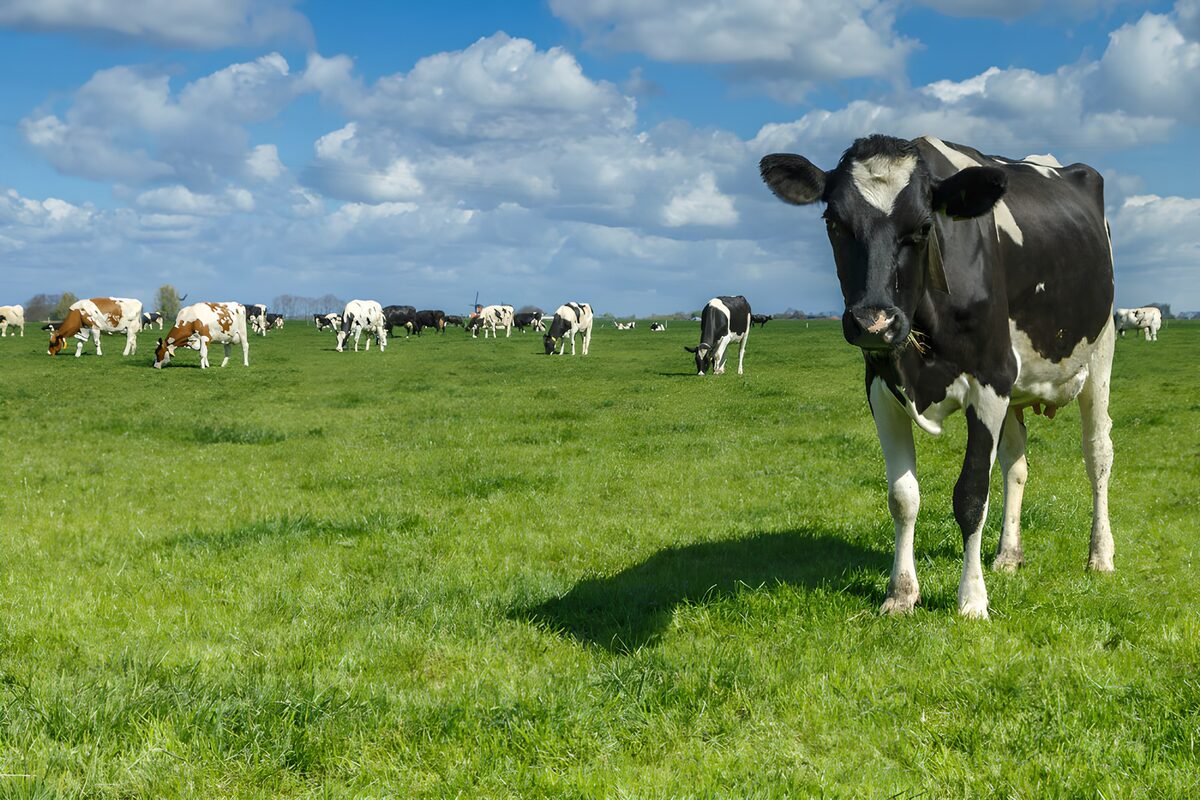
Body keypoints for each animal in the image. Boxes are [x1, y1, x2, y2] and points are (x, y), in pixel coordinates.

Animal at [760, 134, 1117, 619]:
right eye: (834, 222)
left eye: (924, 227)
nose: (873, 322)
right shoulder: (880, 386)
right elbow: (903, 497)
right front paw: (901, 594)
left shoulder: (991, 380)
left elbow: (971, 496)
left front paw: (971, 600)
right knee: (1016, 461)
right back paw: (1008, 555)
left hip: (1100, 354)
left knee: (1097, 453)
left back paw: (1100, 555)